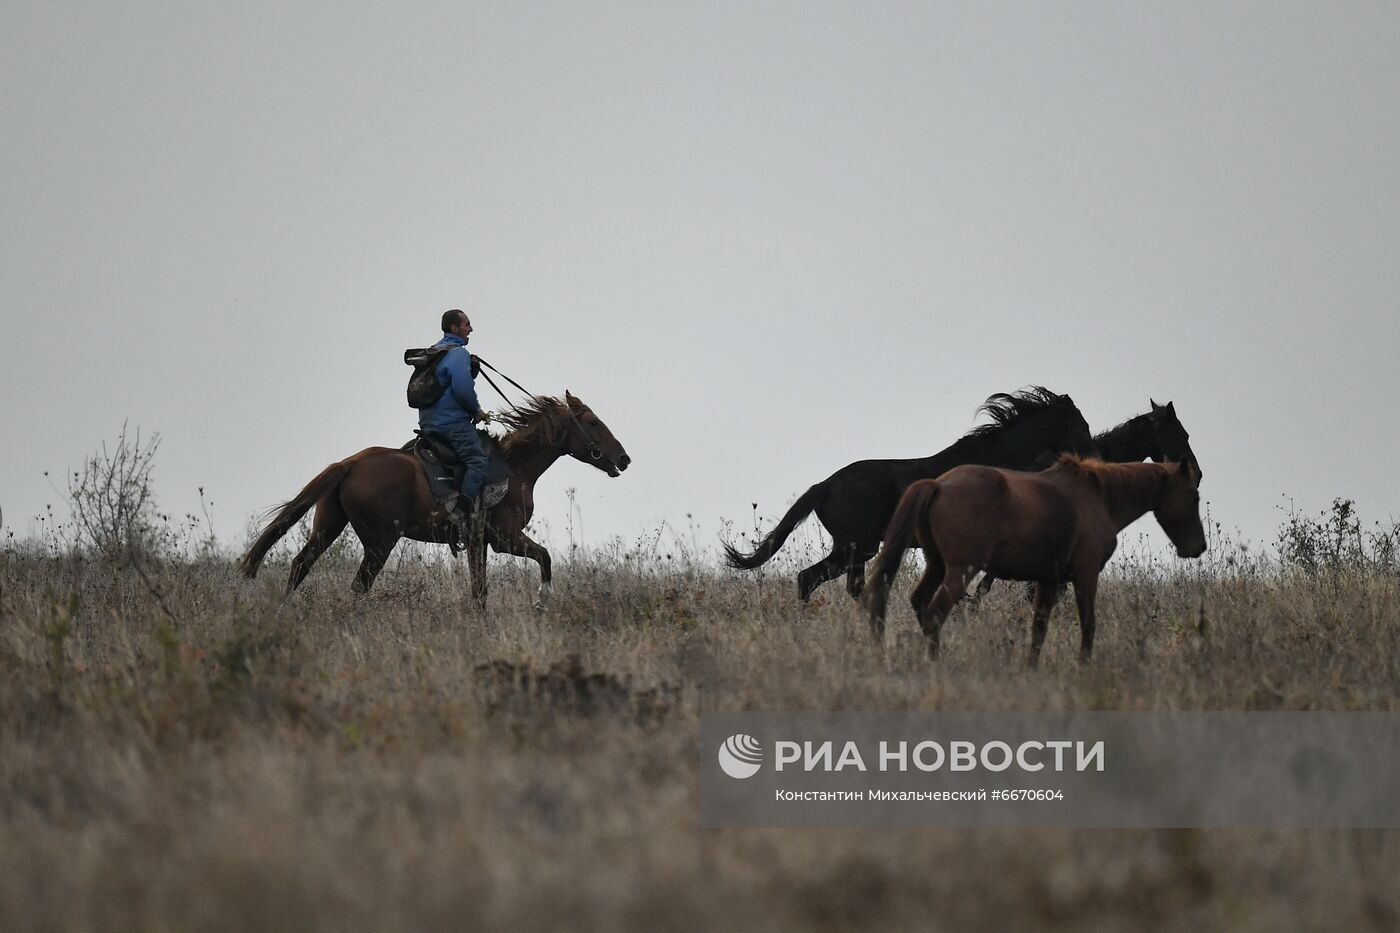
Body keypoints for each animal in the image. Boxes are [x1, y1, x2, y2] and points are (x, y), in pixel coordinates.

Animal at [237, 392, 630, 608]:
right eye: (593, 422)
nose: (624, 458)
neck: (516, 466)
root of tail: (349, 463)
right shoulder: (504, 538)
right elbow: (544, 557)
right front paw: (541, 601)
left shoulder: (480, 542)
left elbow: (479, 589)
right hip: (380, 541)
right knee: (359, 584)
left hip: (329, 525)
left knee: (300, 565)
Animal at [722, 387, 1099, 602]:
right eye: (1081, 425)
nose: (1094, 460)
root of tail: (824, 485)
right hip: (856, 546)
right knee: (811, 578)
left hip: (855, 549)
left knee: (842, 585)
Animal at [864, 456, 1205, 666]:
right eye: (1194, 496)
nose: (1199, 547)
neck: (1097, 499)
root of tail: (938, 484)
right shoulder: (1086, 574)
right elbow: (1088, 623)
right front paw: (1084, 665)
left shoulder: (1048, 580)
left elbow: (1039, 628)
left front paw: (1031, 668)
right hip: (960, 571)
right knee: (935, 611)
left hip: (938, 565)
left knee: (920, 603)